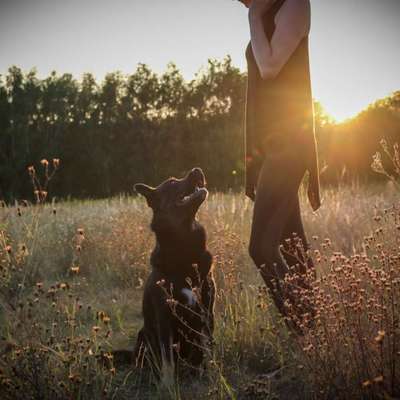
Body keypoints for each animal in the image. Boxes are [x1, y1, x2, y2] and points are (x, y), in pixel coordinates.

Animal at [133, 167, 214, 374]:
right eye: (171, 182)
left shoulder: (207, 311)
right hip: (143, 335)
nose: (197, 170)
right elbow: (167, 362)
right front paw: (167, 382)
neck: (184, 249)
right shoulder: (164, 317)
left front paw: (213, 375)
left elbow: (209, 351)